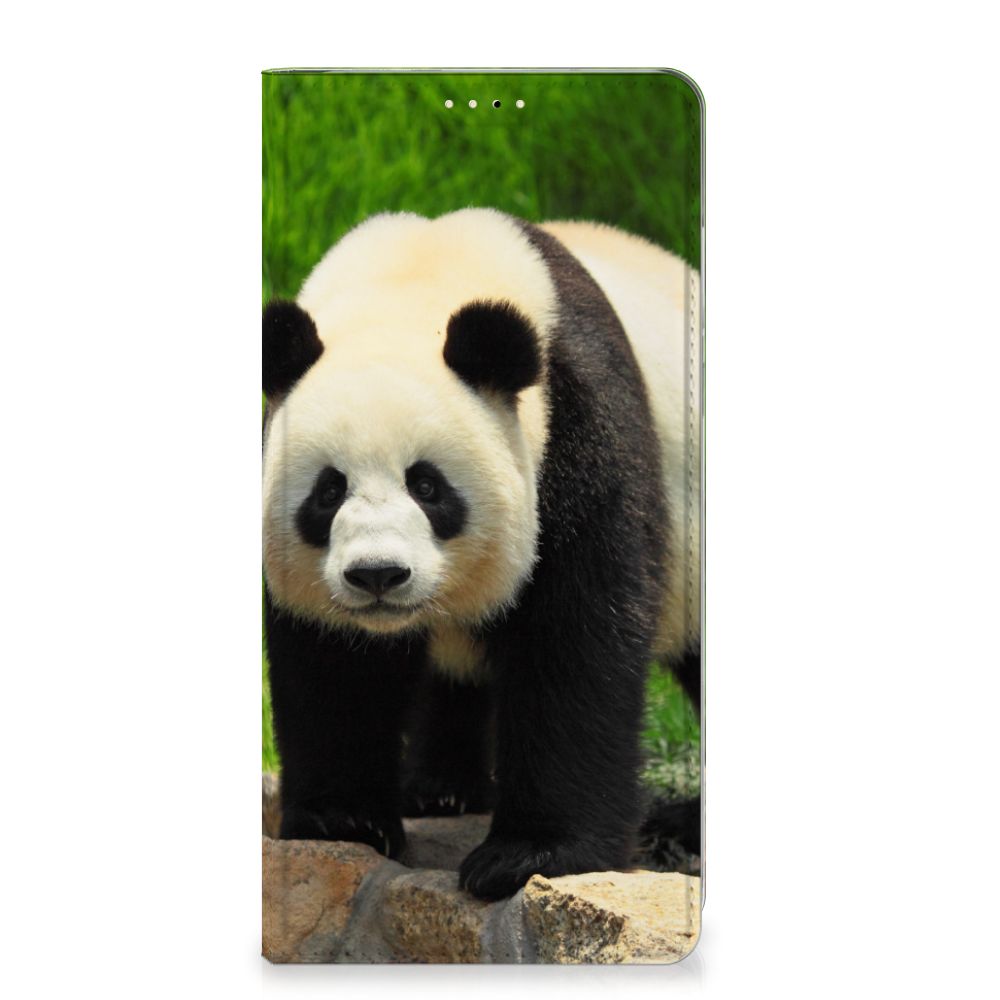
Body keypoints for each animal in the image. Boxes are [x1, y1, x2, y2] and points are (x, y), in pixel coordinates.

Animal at [262, 208, 701, 901]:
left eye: (428, 485)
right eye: (328, 491)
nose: (378, 575)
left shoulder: (578, 428)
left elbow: (575, 637)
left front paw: (529, 856)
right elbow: (333, 662)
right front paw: (344, 820)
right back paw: (441, 789)